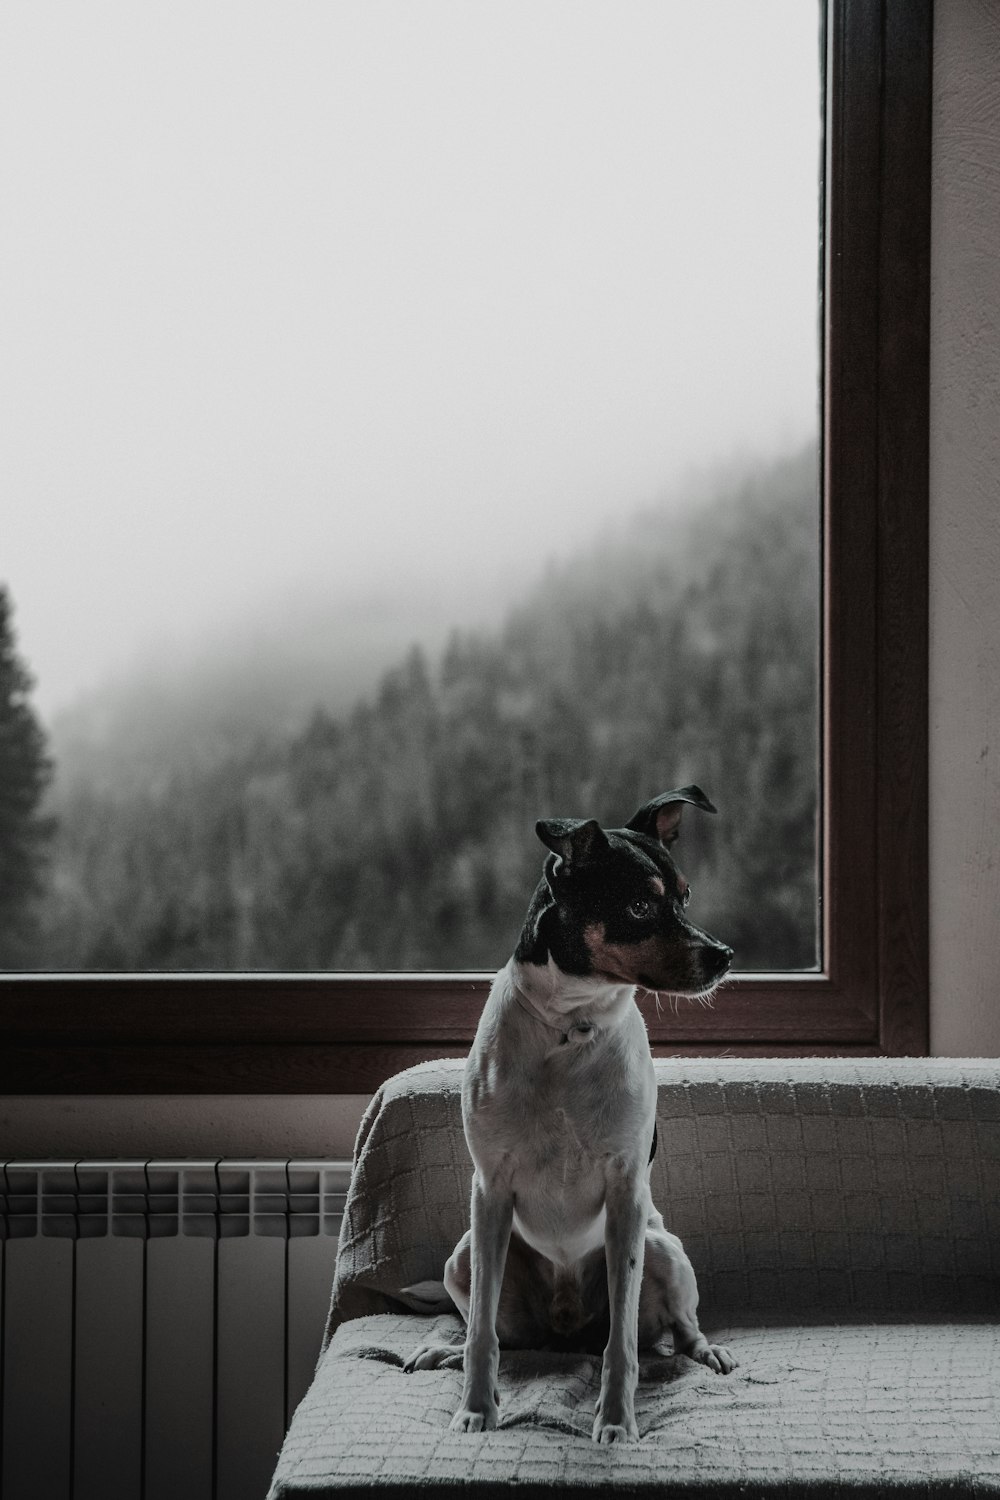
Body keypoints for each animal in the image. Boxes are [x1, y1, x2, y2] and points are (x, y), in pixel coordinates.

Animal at [401, 786, 740, 1440]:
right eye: (638, 905)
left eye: (684, 896)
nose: (724, 956)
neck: (570, 1029)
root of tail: (565, 1332)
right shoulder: (490, 1191)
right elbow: (481, 1335)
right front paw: (476, 1408)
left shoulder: (627, 1195)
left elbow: (623, 1346)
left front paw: (617, 1423)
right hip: (465, 1257)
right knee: (499, 1331)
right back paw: (445, 1351)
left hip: (663, 1249)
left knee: (673, 1330)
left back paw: (706, 1350)